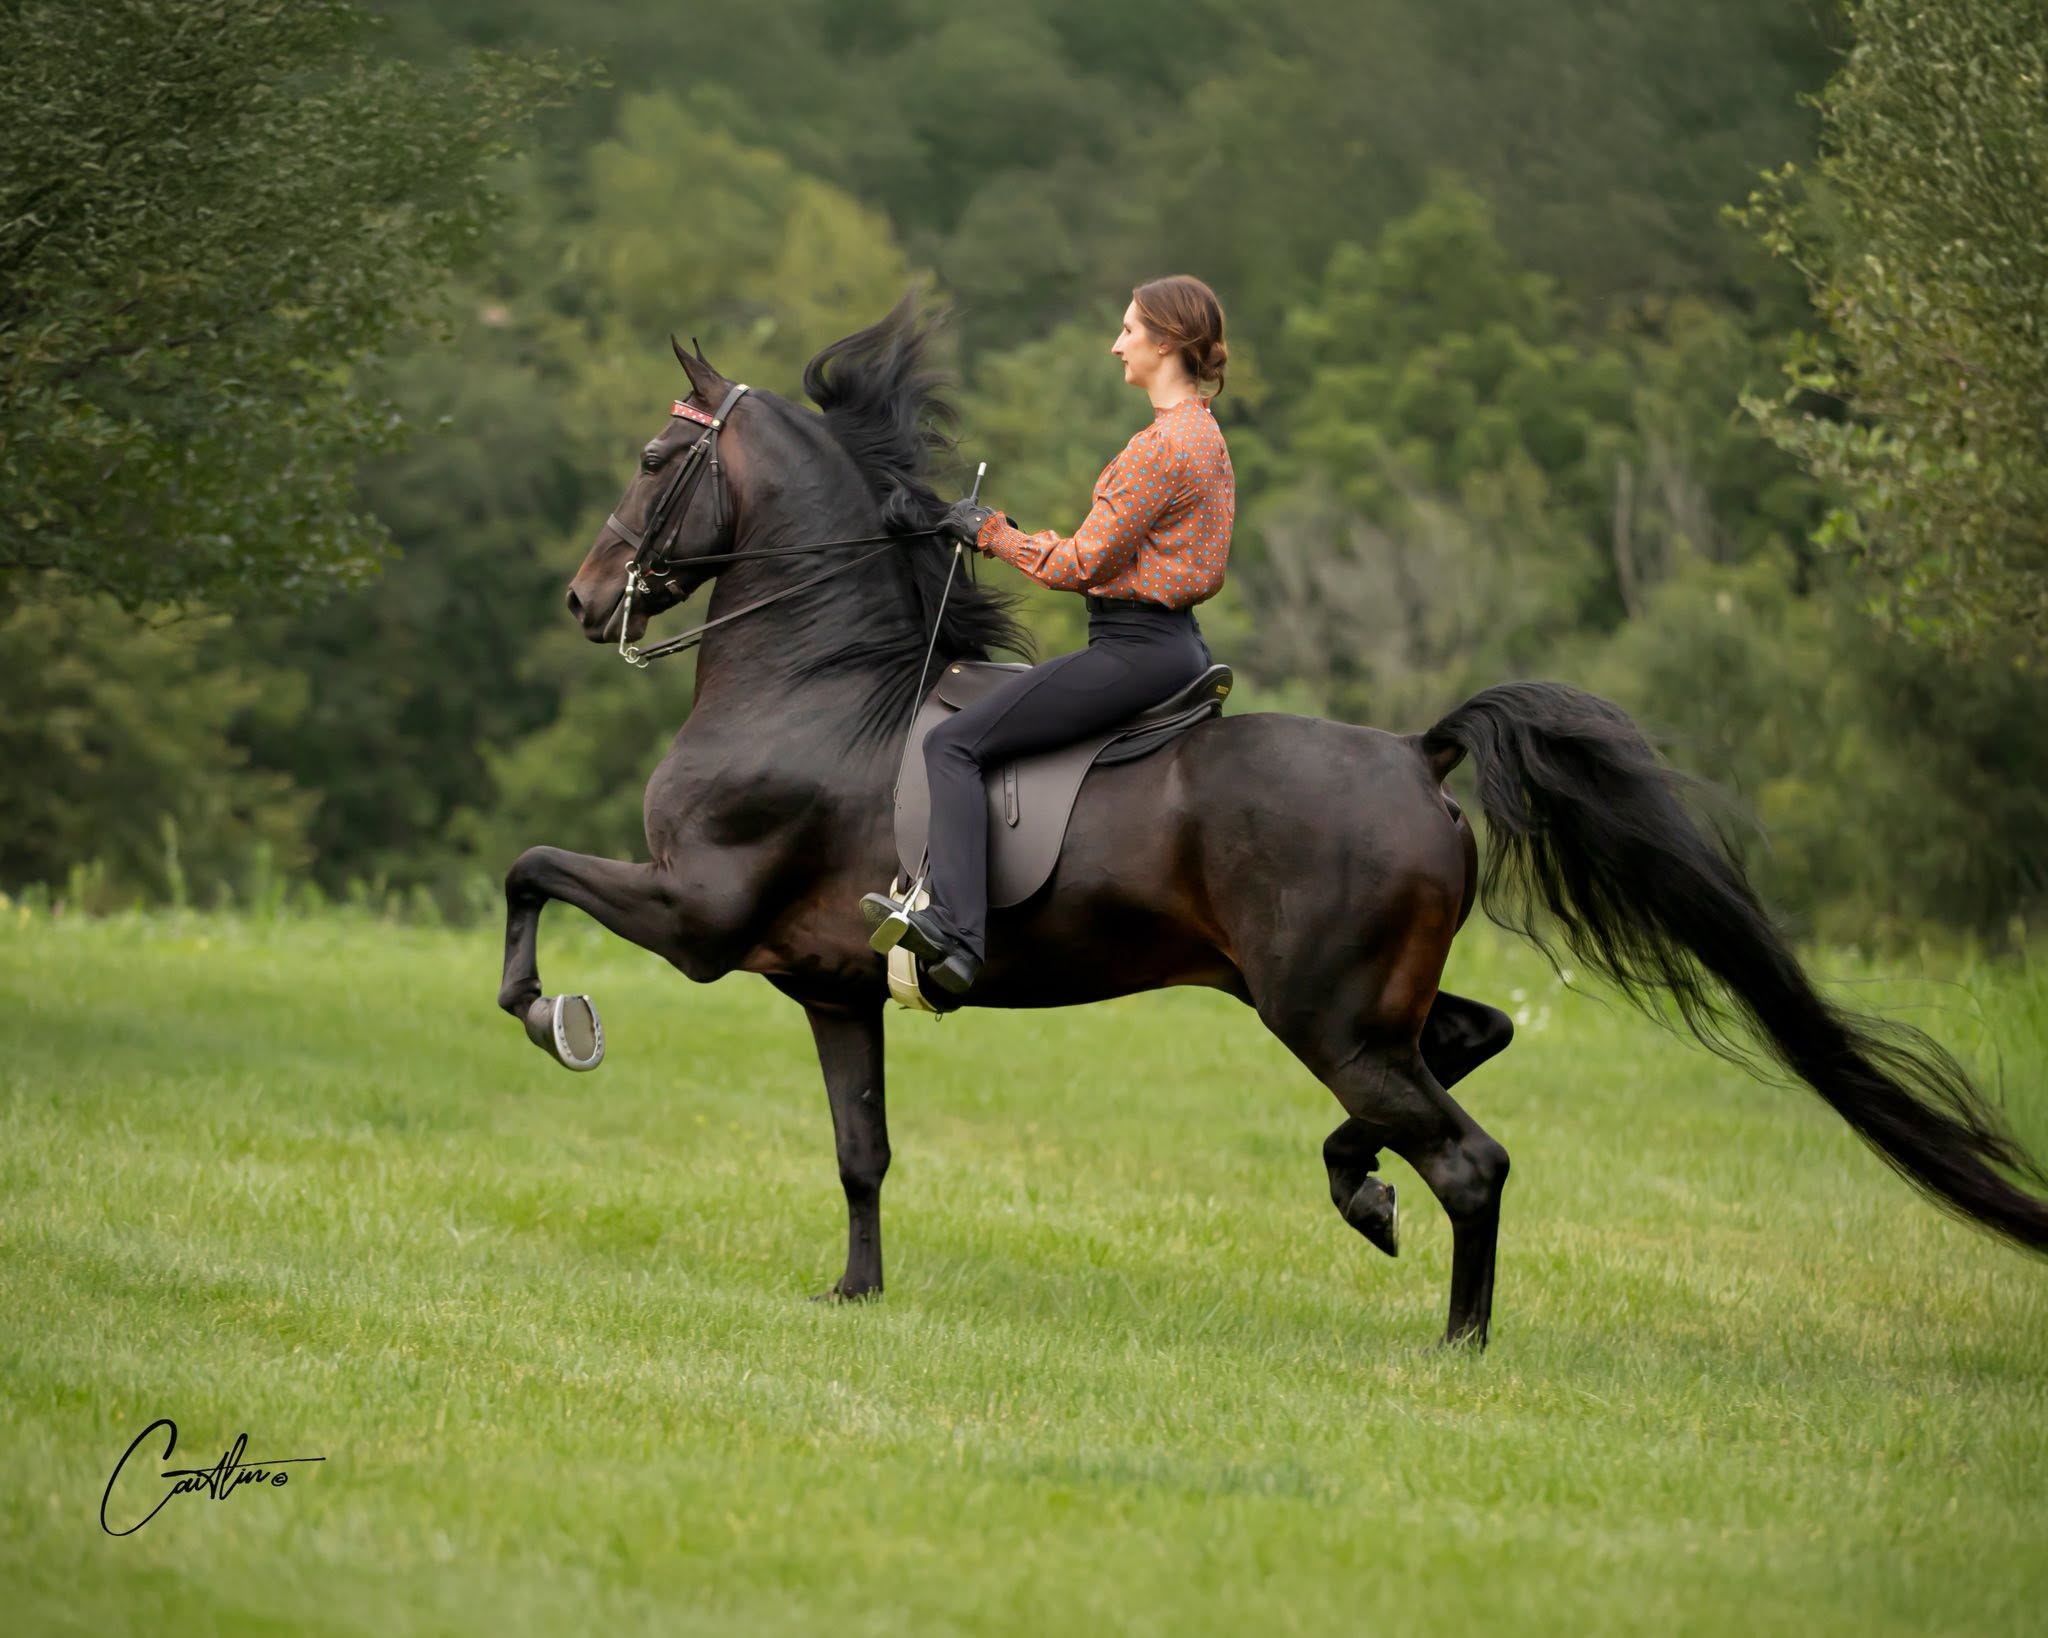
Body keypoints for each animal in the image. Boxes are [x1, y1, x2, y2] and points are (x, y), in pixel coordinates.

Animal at [498, 290, 2048, 1346]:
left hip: (1323, 1011)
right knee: (1463, 1054)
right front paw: (854, 1294)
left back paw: (1457, 1338)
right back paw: (1361, 1192)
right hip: (1364, 1006)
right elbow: (861, 1149)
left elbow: (531, 870)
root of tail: (1419, 752)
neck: (818, 684)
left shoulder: (695, 914)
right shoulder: (828, 984)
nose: (580, 599)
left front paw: (553, 1017)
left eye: (654, 459)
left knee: (1469, 1159)